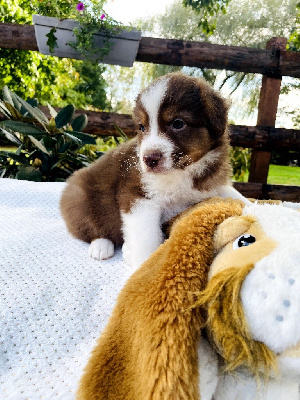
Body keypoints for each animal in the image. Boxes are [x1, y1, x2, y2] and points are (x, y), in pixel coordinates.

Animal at [59, 72, 247, 268]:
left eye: (178, 123)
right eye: (142, 127)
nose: (149, 159)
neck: (181, 172)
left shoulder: (211, 182)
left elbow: (236, 195)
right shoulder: (138, 196)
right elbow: (146, 238)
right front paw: (142, 267)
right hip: (79, 199)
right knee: (90, 228)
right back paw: (101, 246)